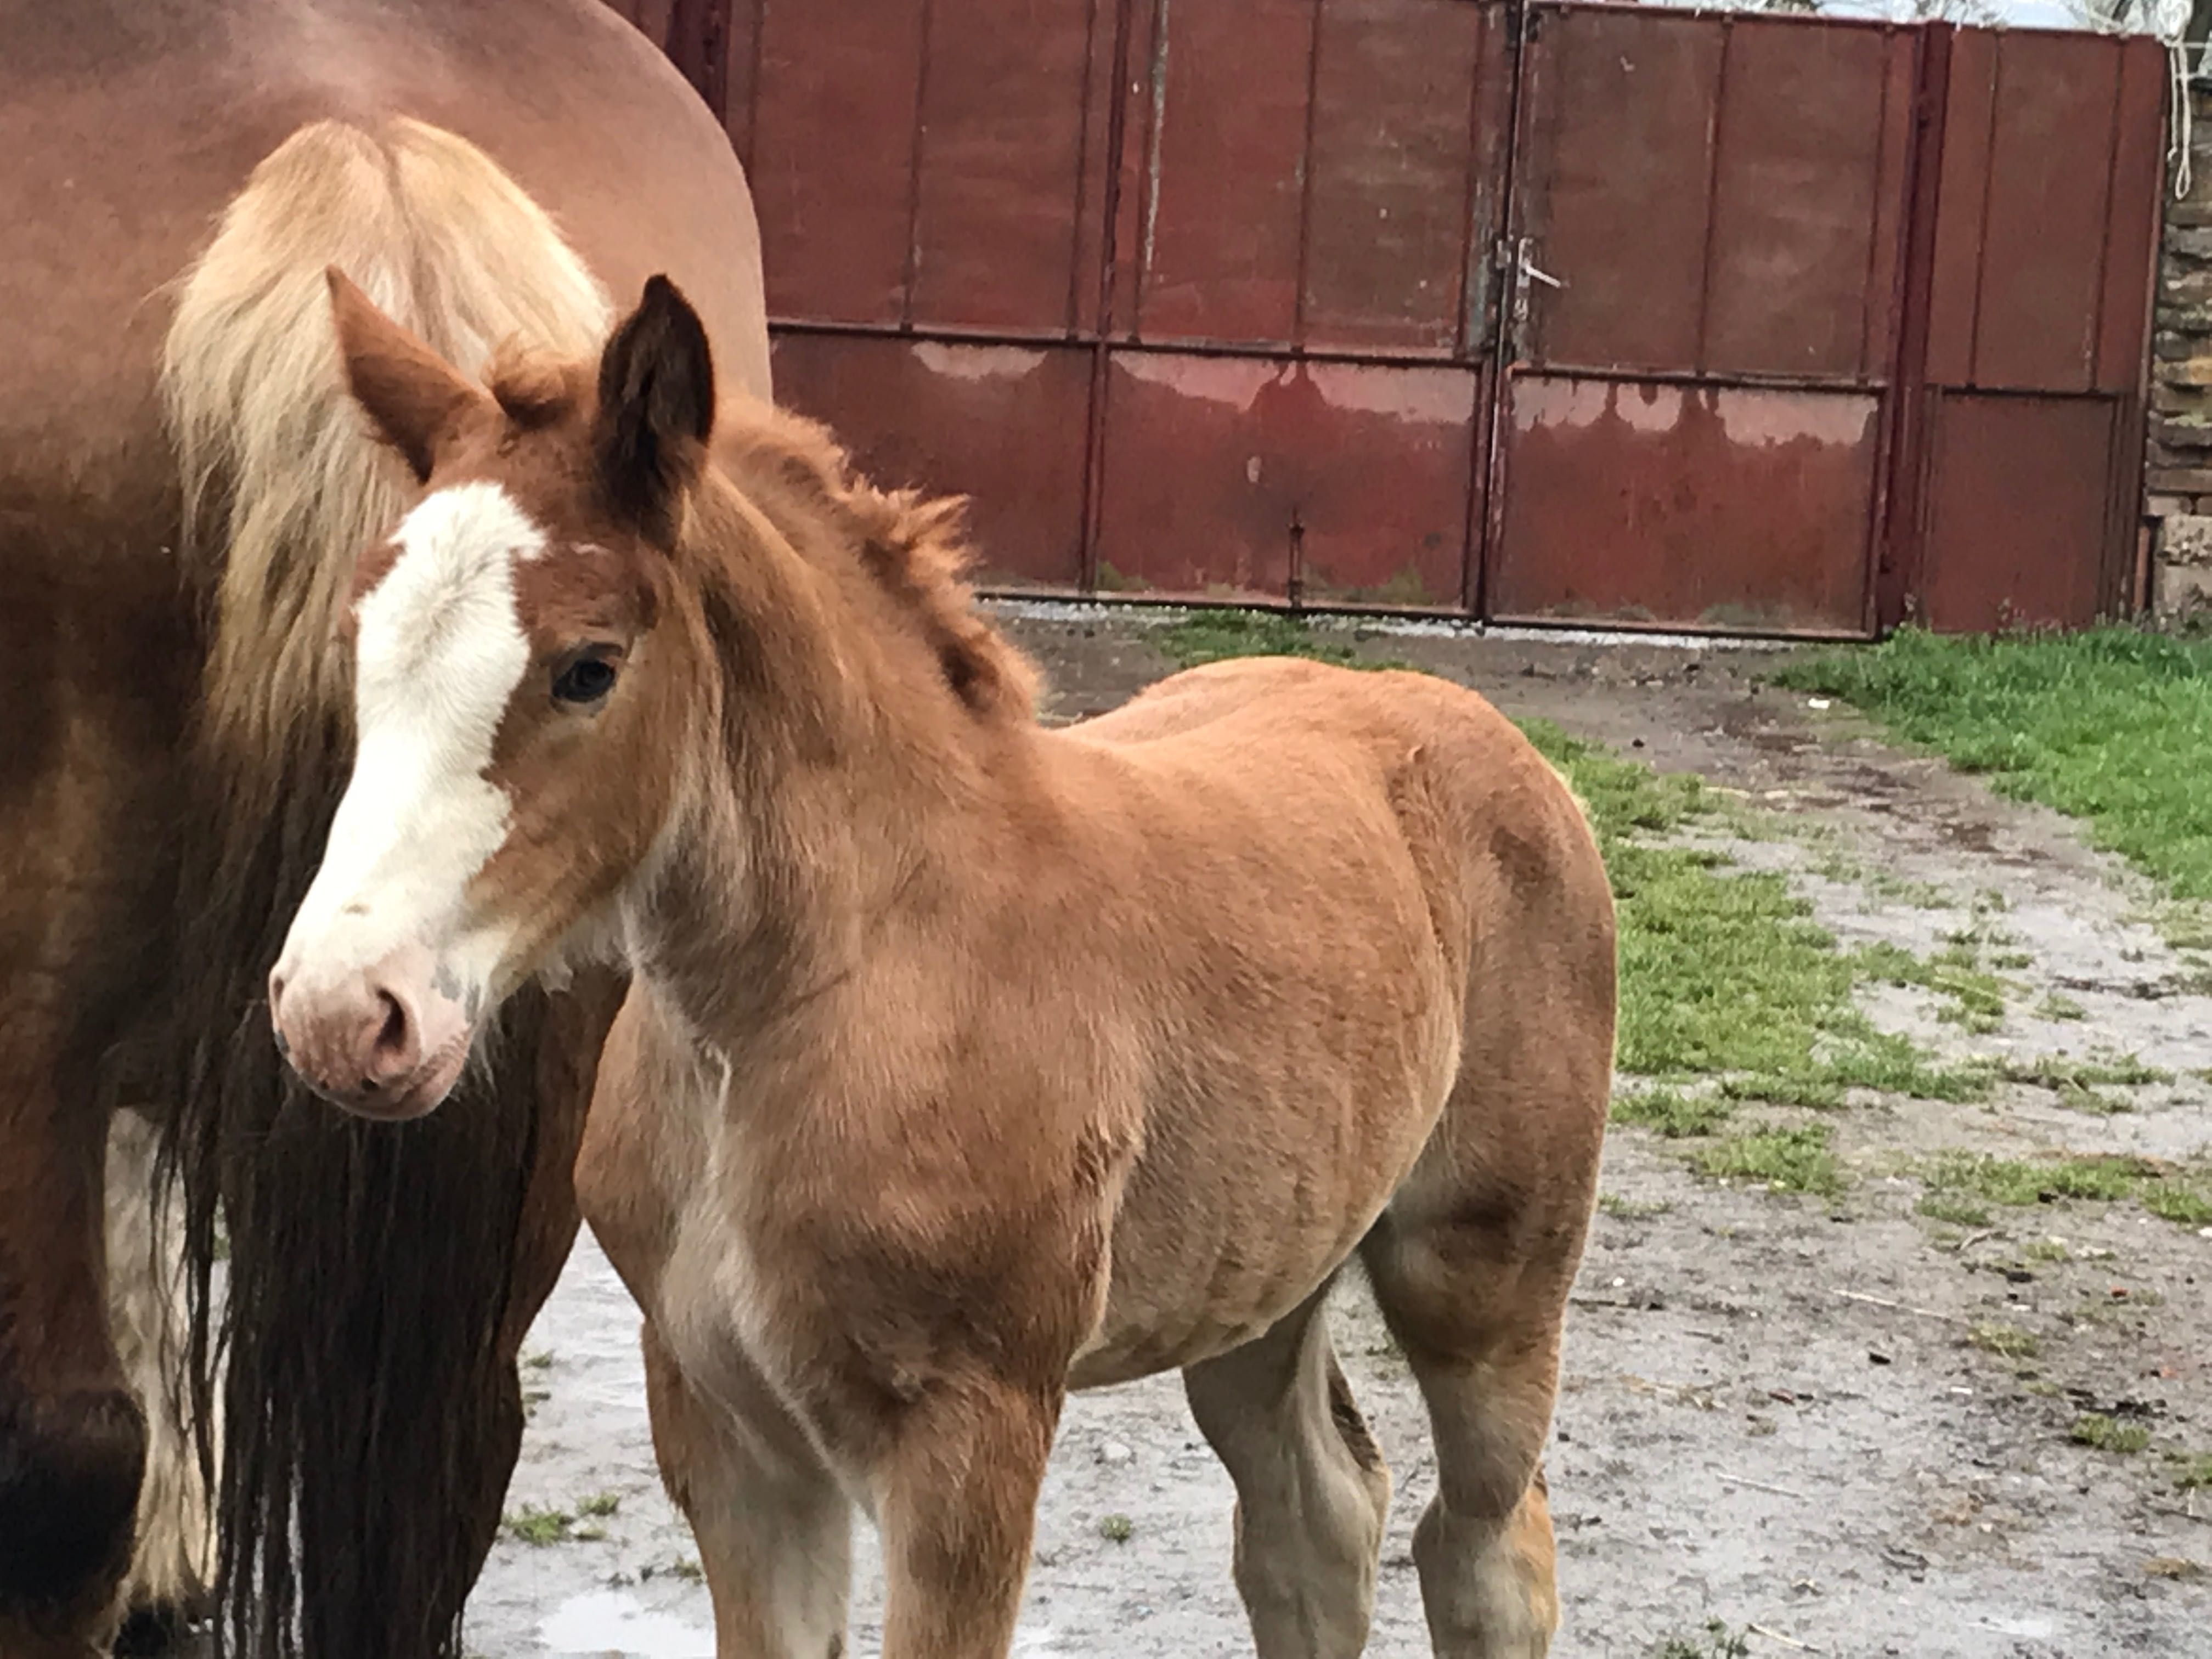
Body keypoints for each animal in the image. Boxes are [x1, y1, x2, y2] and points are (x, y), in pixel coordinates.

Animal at [267, 276, 1619, 1659]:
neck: (828, 985)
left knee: (1486, 1545)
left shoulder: (971, 1438)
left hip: (1485, 1284)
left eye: (589, 668)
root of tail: (1505, 744)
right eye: (362, 644)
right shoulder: (727, 1429)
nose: (343, 1011)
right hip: (1261, 1278)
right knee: (1317, 1521)